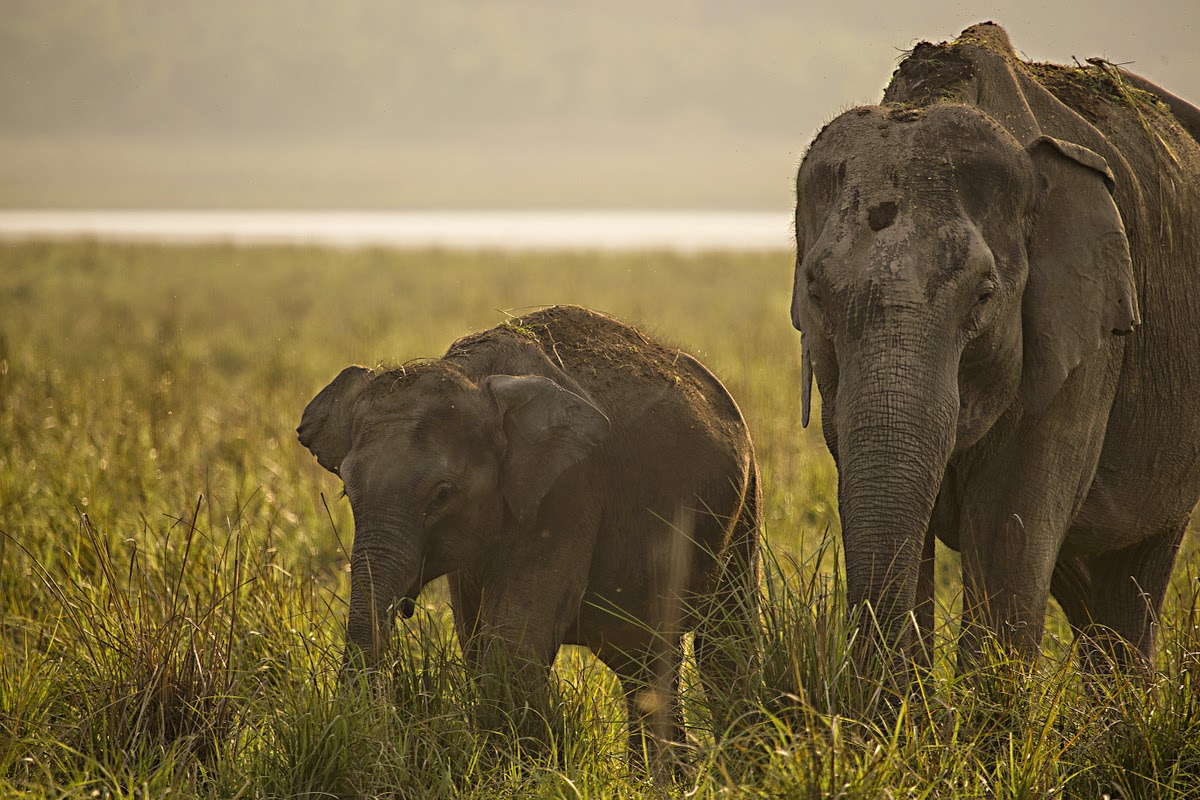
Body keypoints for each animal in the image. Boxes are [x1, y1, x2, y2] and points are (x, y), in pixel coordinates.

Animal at [298, 304, 760, 767]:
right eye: (347, 491)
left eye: (442, 495)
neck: (473, 376)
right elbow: (476, 641)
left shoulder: (570, 489)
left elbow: (513, 644)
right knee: (642, 660)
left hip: (743, 506)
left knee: (723, 645)